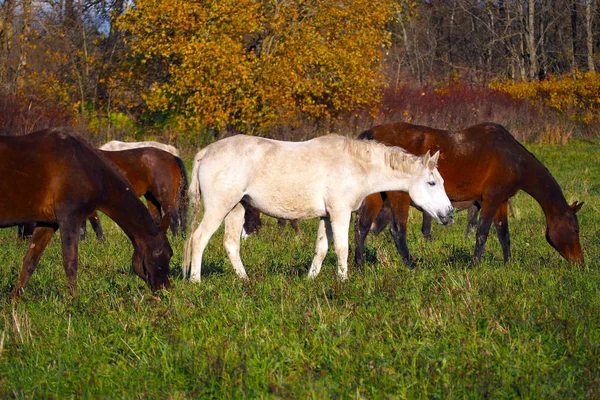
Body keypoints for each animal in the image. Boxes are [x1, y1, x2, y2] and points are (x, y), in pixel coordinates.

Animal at [0, 128, 173, 296]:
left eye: (171, 254)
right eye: (159, 252)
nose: (165, 289)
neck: (86, 166)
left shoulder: (48, 223)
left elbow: (30, 260)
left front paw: (14, 299)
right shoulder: (69, 218)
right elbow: (70, 263)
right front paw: (74, 300)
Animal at [180, 134, 452, 282]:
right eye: (431, 183)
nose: (449, 215)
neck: (355, 164)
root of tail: (207, 151)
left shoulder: (326, 216)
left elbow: (321, 249)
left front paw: (311, 278)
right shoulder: (340, 213)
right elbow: (342, 248)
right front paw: (343, 280)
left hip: (236, 209)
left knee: (230, 244)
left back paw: (245, 280)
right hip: (219, 208)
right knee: (199, 239)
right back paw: (195, 280)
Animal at [354, 120, 584, 268]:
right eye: (575, 229)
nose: (580, 262)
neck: (514, 159)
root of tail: (372, 136)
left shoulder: (501, 201)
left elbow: (504, 234)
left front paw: (508, 264)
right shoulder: (491, 199)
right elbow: (482, 232)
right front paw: (475, 265)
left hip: (376, 195)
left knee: (362, 227)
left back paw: (359, 266)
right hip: (398, 195)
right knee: (397, 231)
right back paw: (411, 266)